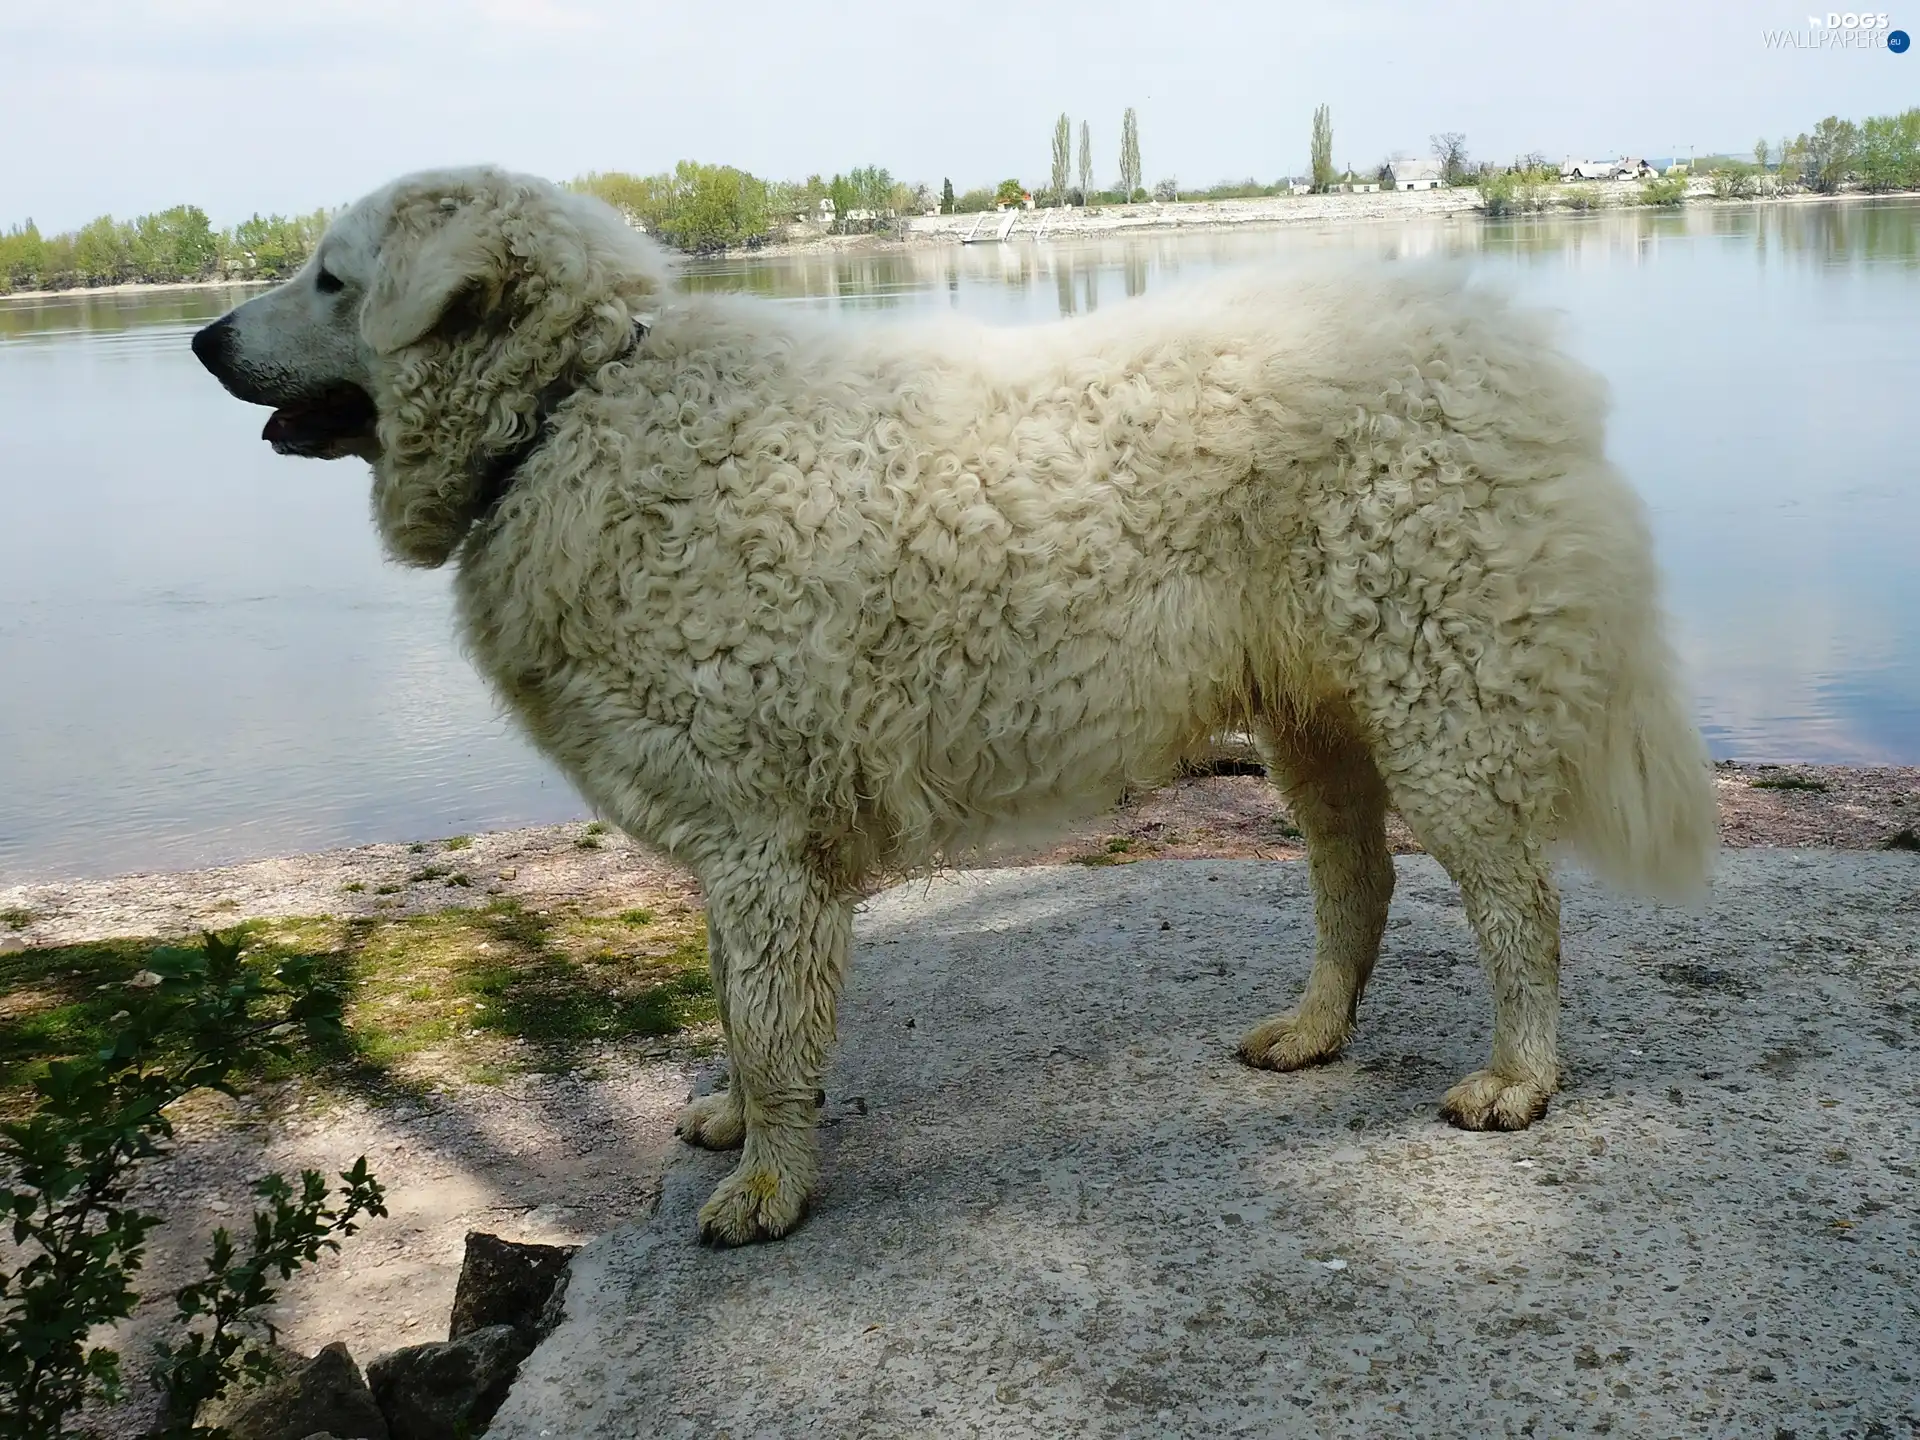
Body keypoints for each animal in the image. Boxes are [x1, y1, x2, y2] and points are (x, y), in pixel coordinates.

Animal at [194, 166, 1720, 1251]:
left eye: (331, 276)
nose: (203, 337)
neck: (571, 411)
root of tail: (1505, 336)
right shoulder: (734, 841)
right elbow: (732, 1006)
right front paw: (732, 1121)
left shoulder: (759, 841)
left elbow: (769, 1026)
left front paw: (771, 1187)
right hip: (1317, 718)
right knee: (1363, 876)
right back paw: (1313, 1028)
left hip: (1444, 707)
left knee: (1520, 907)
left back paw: (1519, 1077)